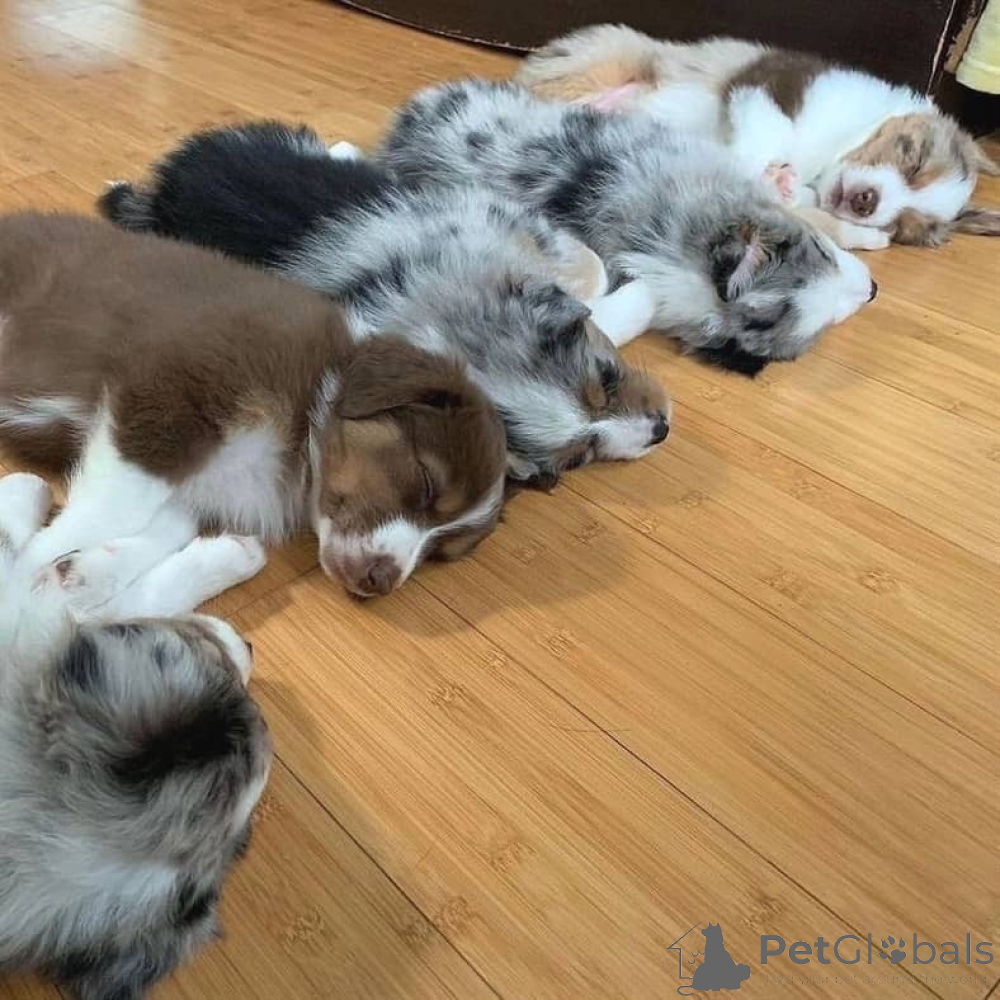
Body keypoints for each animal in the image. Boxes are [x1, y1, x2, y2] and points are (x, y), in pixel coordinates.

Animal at [0, 212, 507, 598]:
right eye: (426, 483)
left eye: (439, 553)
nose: (381, 581)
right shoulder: (169, 395)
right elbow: (110, 509)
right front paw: (26, 574)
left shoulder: (199, 478)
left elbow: (171, 524)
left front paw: (90, 572)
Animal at [97, 121, 670, 485]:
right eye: (579, 457)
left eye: (608, 380)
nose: (661, 432)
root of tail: (167, 183)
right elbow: (592, 275)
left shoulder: (502, 219)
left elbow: (588, 268)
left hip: (287, 143)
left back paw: (348, 149)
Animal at [376, 79, 877, 375]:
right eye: (828, 324)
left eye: (824, 253)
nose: (873, 292)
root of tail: (405, 122)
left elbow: (810, 206)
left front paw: (862, 229)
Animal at [516, 25, 1000, 249]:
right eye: (912, 159)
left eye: (903, 226)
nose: (866, 203)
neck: (831, 154)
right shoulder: (769, 87)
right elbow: (763, 136)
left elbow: (801, 197)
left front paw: (783, 186)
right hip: (607, 57)